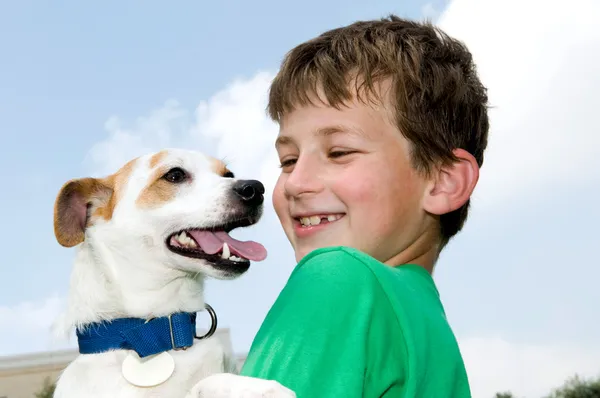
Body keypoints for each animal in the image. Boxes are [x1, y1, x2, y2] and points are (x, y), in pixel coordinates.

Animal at [52, 149, 296, 398]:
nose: (255, 189)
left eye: (228, 174)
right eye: (175, 175)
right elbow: (200, 385)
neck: (158, 335)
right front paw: (259, 388)